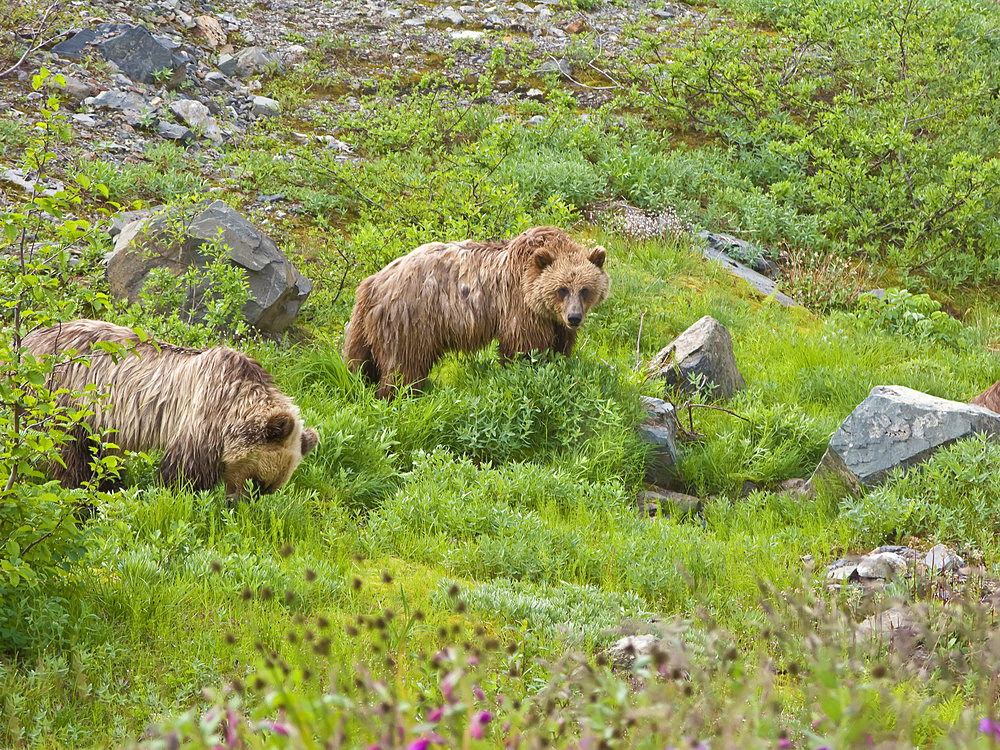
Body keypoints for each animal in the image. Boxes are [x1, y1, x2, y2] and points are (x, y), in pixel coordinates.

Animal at [21, 318, 318, 500]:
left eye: (269, 488)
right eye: (257, 480)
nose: (238, 505)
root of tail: (26, 341)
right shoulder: (203, 412)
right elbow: (185, 468)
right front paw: (179, 493)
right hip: (65, 399)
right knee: (69, 450)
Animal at [344, 225, 608, 396]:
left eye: (585, 290)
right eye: (562, 289)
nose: (574, 317)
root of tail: (375, 282)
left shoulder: (552, 320)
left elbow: (560, 346)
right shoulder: (519, 307)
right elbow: (524, 346)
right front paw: (527, 370)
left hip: (363, 325)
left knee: (359, 361)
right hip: (410, 321)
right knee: (404, 365)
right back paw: (400, 395)